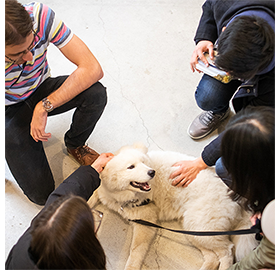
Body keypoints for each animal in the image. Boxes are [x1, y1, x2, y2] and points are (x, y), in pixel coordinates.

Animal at [88, 146, 258, 270]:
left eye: (144, 162)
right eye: (131, 167)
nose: (152, 172)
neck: (120, 196)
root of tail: (238, 195)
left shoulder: (146, 224)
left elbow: (135, 251)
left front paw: (131, 269)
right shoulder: (100, 191)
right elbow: (88, 199)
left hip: (201, 227)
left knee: (227, 252)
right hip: (196, 231)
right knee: (213, 257)